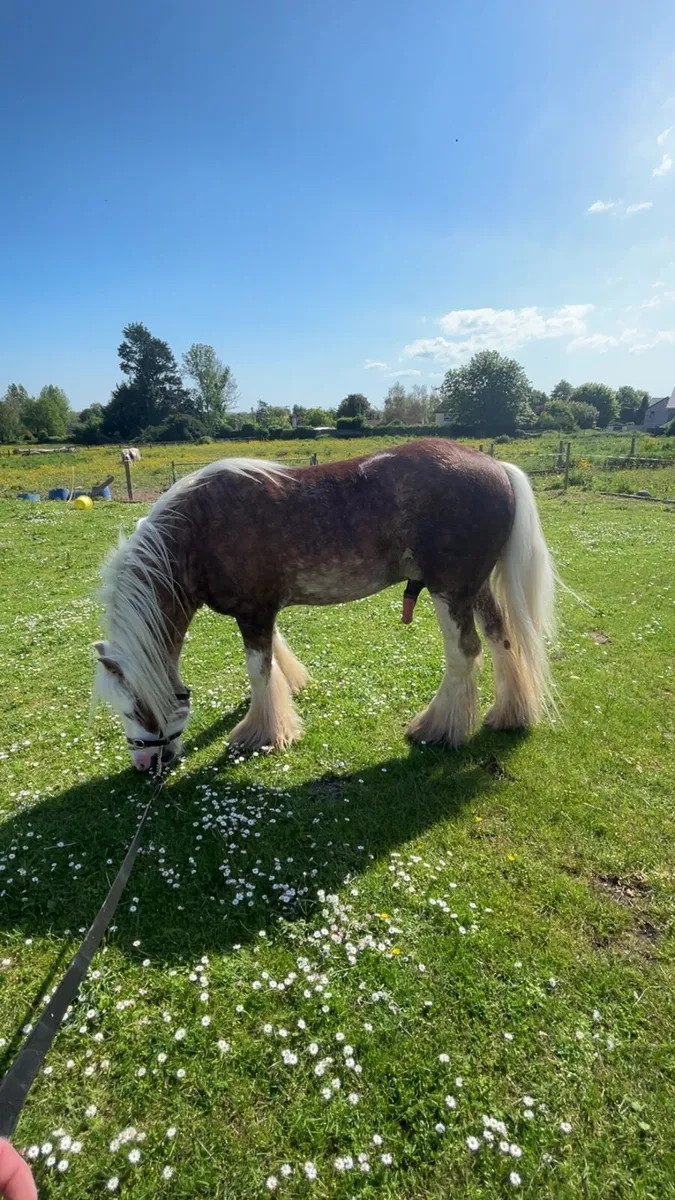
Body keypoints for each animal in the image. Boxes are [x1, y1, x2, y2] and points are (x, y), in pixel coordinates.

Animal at [93, 440, 557, 772]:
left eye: (135, 707)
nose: (144, 764)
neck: (198, 531)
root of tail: (496, 466)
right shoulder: (263, 611)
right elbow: (275, 657)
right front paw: (290, 691)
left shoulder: (253, 613)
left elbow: (259, 672)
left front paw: (263, 733)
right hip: (474, 589)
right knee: (500, 639)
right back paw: (510, 713)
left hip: (450, 591)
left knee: (465, 653)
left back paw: (439, 728)